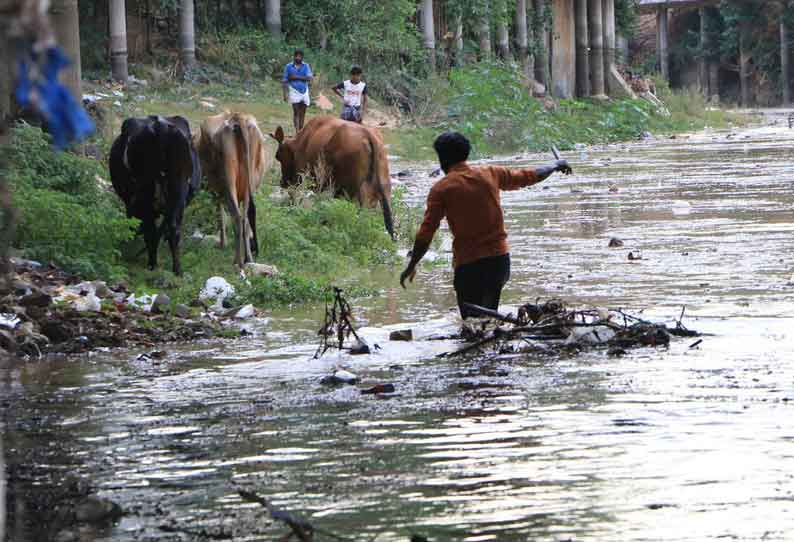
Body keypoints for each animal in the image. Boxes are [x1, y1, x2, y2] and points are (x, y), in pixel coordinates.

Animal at [108, 115, 200, 276]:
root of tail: (160, 127)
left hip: (147, 195)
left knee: (151, 230)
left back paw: (153, 263)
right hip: (177, 192)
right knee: (173, 230)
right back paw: (177, 269)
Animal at [195, 112, 272, 268]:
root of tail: (237, 117)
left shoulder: (216, 192)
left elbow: (221, 217)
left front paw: (222, 243)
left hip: (228, 181)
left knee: (237, 217)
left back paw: (237, 261)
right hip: (249, 184)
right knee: (245, 220)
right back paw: (248, 258)